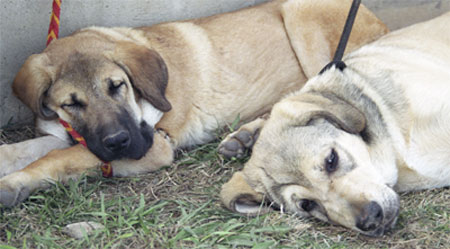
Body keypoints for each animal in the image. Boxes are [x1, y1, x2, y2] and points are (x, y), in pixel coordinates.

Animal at [0, 0, 386, 206]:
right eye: (71, 104)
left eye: (116, 86)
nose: (118, 142)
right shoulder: (68, 135)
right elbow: (28, 150)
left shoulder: (155, 146)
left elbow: (58, 158)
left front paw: (12, 185)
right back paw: (245, 137)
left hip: (302, 15)